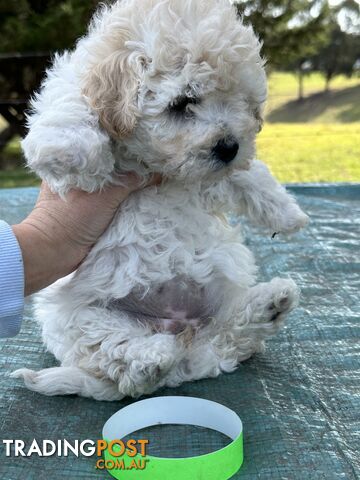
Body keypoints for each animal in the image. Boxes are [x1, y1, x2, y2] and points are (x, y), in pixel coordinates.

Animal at [12, 0, 308, 400]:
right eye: (183, 102)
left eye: (242, 103)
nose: (229, 147)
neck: (157, 165)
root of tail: (177, 335)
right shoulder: (72, 85)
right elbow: (71, 103)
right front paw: (70, 150)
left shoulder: (212, 175)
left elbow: (248, 174)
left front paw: (287, 213)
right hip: (75, 316)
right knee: (121, 360)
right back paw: (152, 355)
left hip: (219, 297)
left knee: (222, 341)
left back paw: (268, 305)